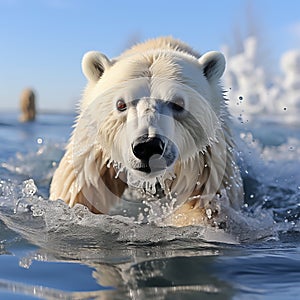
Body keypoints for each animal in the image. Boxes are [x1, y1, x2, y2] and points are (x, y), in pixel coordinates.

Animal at [49, 36, 244, 226]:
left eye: (178, 104)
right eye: (121, 104)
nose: (148, 146)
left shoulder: (205, 159)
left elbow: (202, 203)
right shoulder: (95, 150)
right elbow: (79, 189)